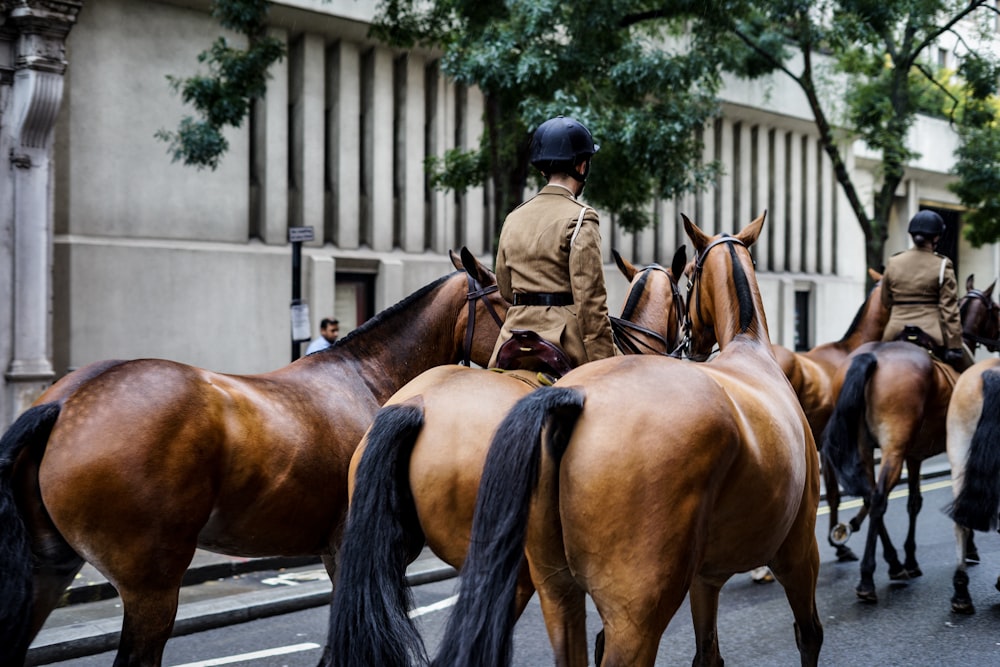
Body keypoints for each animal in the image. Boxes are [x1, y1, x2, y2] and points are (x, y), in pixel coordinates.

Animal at [0, 249, 504, 667]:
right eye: (510, 298)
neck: (370, 381)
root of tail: (67, 400)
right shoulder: (360, 550)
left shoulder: (340, 552)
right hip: (153, 584)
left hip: (49, 571)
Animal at [436, 215, 820, 667]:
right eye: (688, 279)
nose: (693, 343)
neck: (750, 347)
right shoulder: (798, 550)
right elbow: (808, 635)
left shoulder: (705, 576)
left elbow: (707, 653)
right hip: (637, 614)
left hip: (556, 594)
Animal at [768, 266, 888, 564]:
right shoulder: (840, 445)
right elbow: (846, 492)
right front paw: (843, 533)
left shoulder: (824, 445)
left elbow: (834, 494)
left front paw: (840, 539)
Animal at [820, 278, 1000, 604]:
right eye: (995, 309)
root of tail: (871, 355)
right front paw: (970, 550)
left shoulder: (914, 455)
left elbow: (914, 501)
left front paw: (911, 559)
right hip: (893, 447)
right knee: (879, 498)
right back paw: (868, 578)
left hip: (867, 447)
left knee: (871, 495)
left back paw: (892, 563)